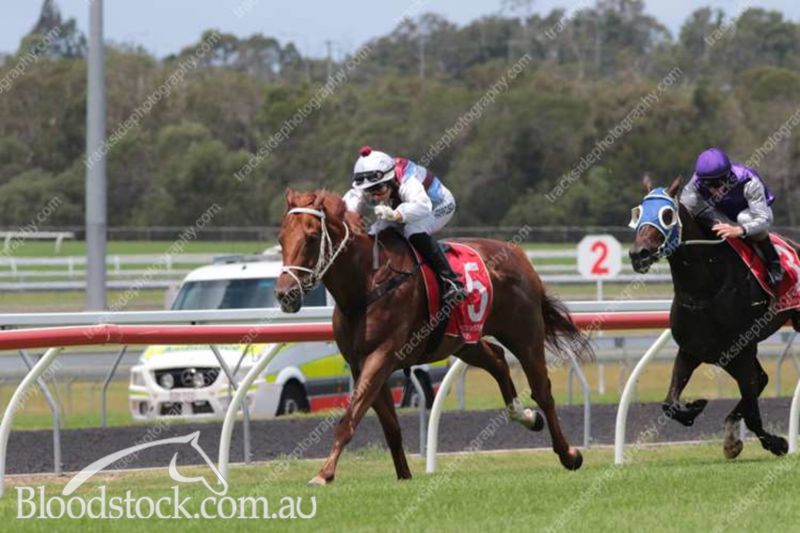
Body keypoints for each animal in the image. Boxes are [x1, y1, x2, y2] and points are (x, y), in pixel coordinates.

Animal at [274, 188, 593, 484]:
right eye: (281, 239)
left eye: (312, 237)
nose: (285, 294)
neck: (366, 284)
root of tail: (519, 254)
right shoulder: (361, 363)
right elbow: (390, 426)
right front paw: (404, 476)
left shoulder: (381, 356)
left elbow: (350, 417)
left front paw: (324, 474)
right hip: (464, 339)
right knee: (497, 360)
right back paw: (524, 415)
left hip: (524, 334)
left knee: (542, 391)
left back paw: (568, 454)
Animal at [628, 176, 800, 459]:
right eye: (638, 213)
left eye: (667, 215)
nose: (638, 254)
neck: (704, 290)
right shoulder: (692, 350)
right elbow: (669, 403)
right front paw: (695, 408)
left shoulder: (743, 349)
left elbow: (753, 414)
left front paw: (776, 443)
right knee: (761, 379)